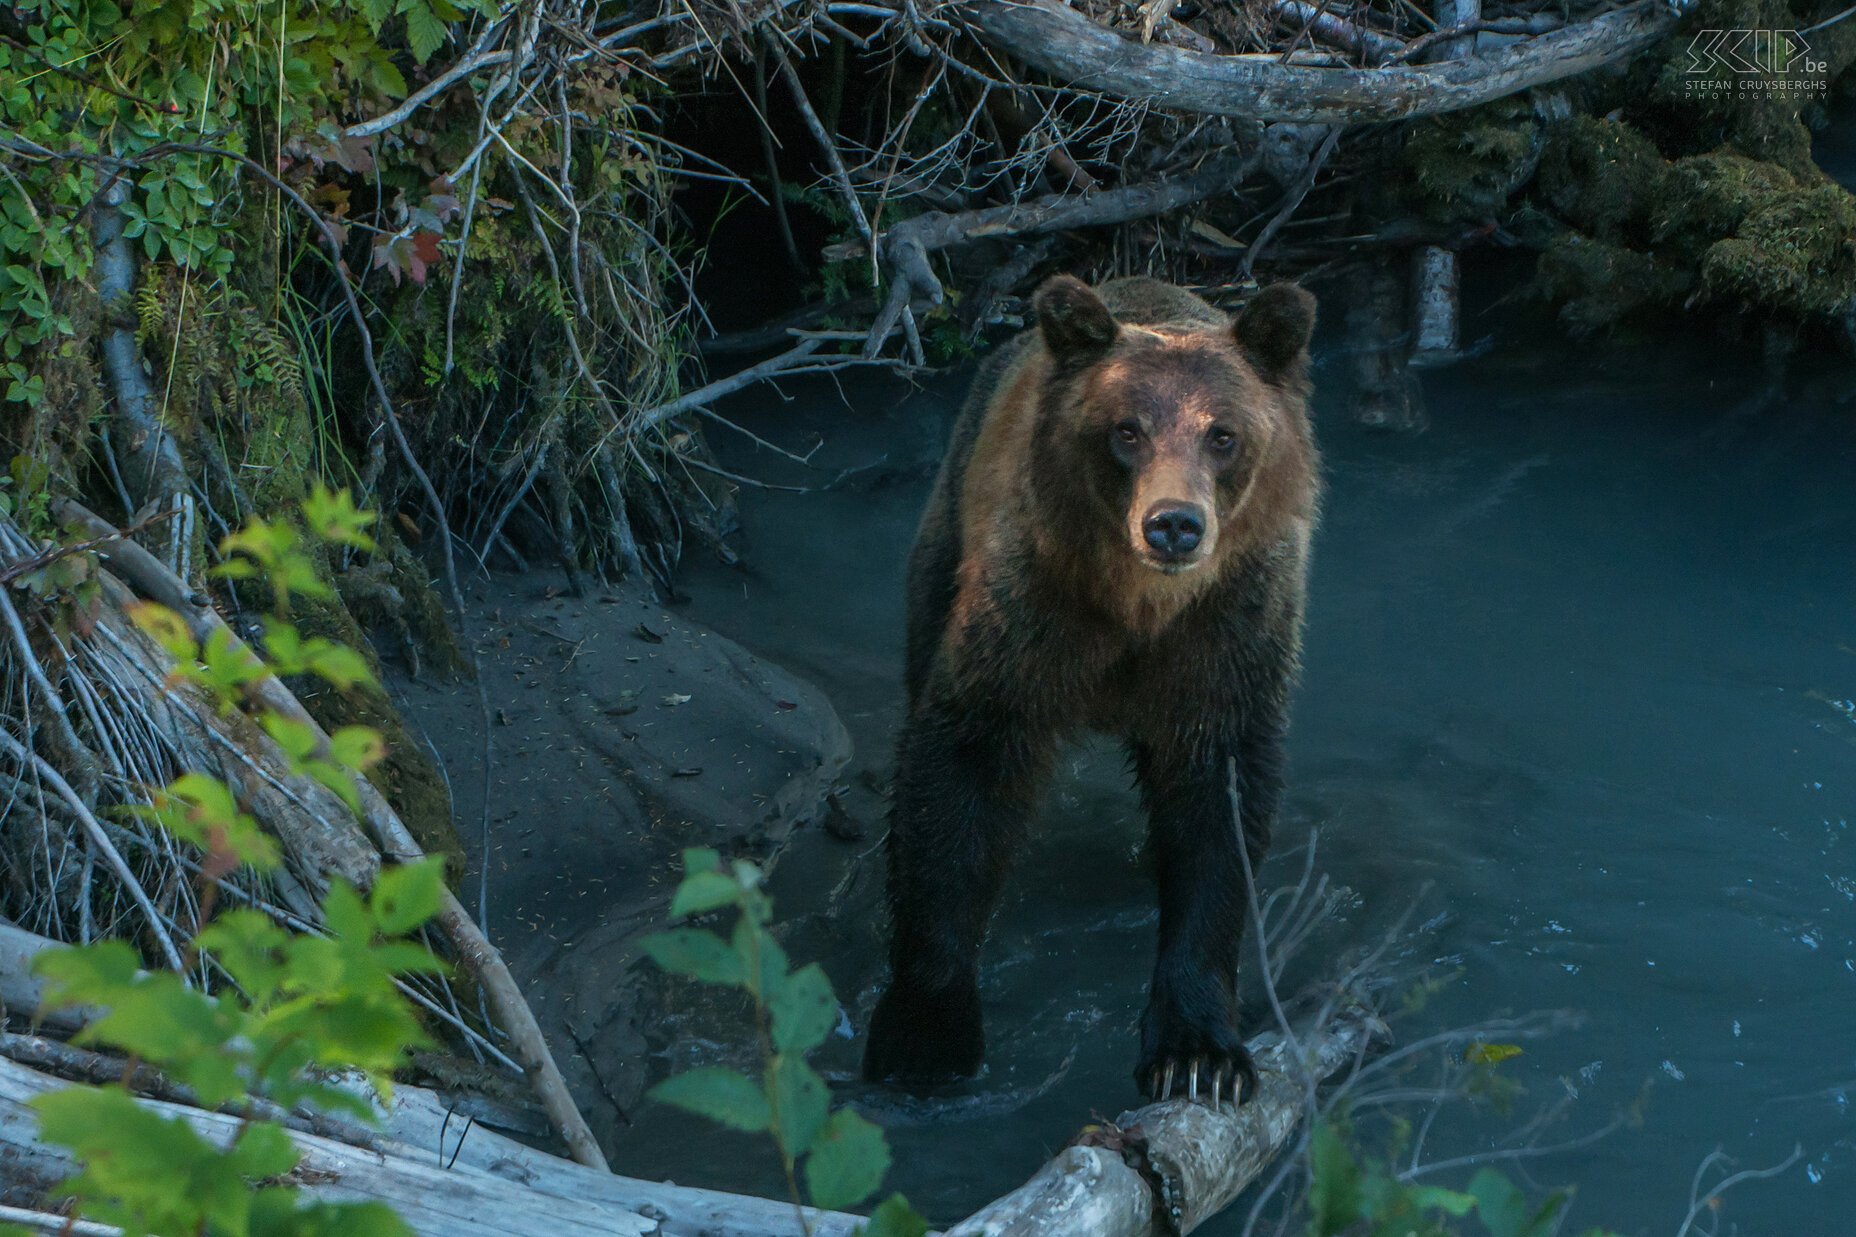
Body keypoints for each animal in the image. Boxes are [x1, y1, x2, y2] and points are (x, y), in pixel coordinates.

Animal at [864, 274, 1321, 1099]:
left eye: (1223, 434)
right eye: (1126, 430)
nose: (1173, 524)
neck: (1140, 608)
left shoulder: (1228, 631)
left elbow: (1218, 809)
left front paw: (1197, 1052)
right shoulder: (1032, 608)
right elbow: (962, 767)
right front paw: (926, 1029)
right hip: (947, 532)